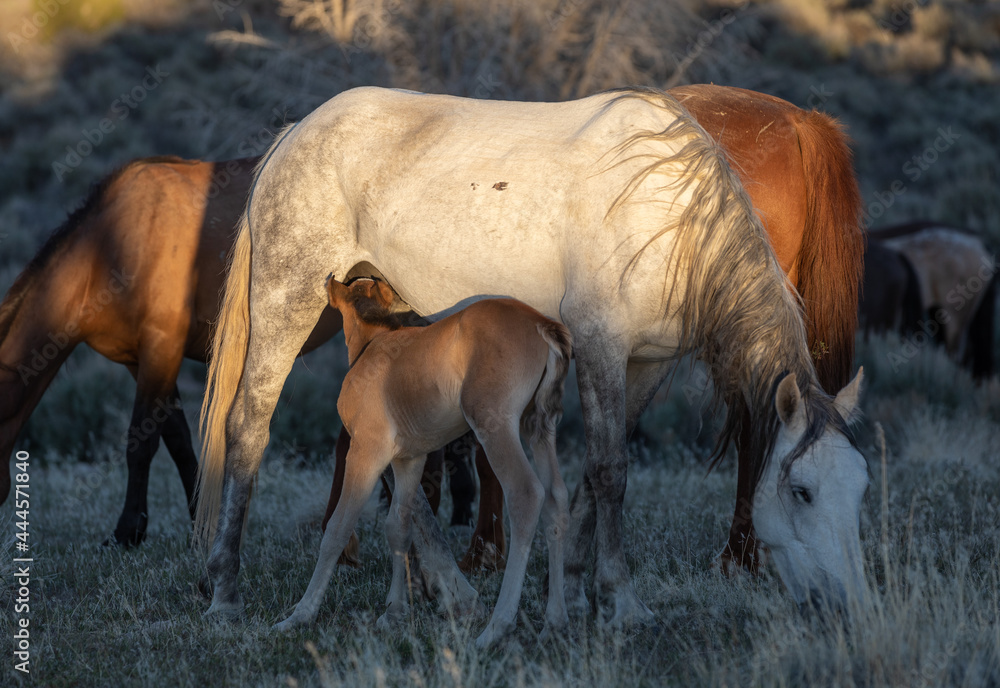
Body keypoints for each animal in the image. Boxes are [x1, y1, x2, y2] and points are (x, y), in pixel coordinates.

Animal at [276, 276, 572, 647]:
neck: (373, 344)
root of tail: (541, 322)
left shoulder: (365, 452)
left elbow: (337, 529)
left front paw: (299, 616)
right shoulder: (409, 460)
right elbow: (399, 528)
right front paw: (393, 614)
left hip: (495, 425)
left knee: (527, 494)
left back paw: (494, 629)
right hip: (539, 427)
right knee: (556, 497)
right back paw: (554, 624)